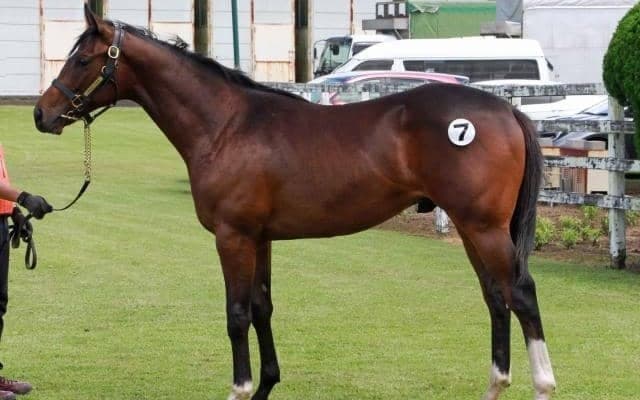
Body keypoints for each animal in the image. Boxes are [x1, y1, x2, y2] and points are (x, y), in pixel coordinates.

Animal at [33, 5, 555, 400]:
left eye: (82, 60)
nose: (42, 114)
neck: (227, 126)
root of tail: (506, 109)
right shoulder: (260, 238)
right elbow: (262, 308)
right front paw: (265, 385)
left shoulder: (233, 238)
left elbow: (237, 315)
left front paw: (241, 389)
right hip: (472, 228)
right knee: (495, 297)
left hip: (484, 227)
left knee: (521, 294)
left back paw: (543, 385)